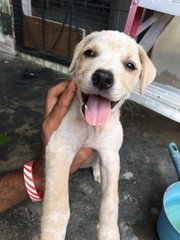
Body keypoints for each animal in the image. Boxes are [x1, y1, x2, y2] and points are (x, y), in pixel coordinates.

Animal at [41, 30, 156, 240]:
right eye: (89, 53)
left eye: (130, 65)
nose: (103, 77)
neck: (91, 127)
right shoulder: (59, 148)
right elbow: (58, 205)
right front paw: (52, 233)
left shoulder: (111, 157)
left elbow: (111, 202)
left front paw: (109, 233)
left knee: (96, 164)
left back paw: (96, 173)